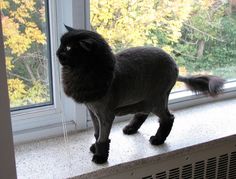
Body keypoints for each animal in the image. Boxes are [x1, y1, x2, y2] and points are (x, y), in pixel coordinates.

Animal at [56, 25, 224, 164]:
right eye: (61, 44)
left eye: (68, 48)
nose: (57, 53)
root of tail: (174, 64)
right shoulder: (92, 111)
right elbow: (97, 134)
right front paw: (94, 147)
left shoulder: (105, 115)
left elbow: (103, 138)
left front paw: (100, 156)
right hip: (145, 99)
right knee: (143, 113)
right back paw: (131, 128)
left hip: (156, 99)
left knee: (168, 118)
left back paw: (158, 139)